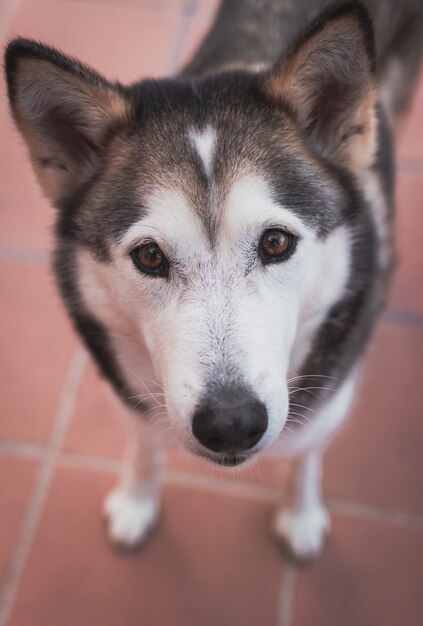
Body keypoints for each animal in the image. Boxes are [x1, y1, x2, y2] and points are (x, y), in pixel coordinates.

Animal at [4, 0, 423, 556]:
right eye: (150, 256)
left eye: (276, 243)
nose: (231, 424)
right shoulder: (128, 389)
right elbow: (143, 440)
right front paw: (137, 499)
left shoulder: (330, 401)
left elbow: (306, 453)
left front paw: (300, 512)